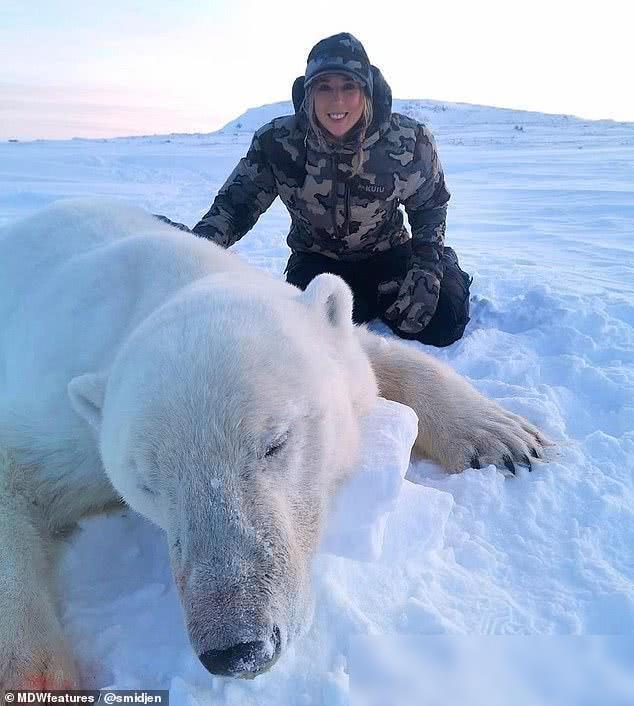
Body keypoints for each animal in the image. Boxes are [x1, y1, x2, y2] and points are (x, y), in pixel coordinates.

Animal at [0, 201, 544, 684]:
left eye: (275, 442)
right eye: (149, 483)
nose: (236, 649)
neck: (168, 278)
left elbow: (374, 354)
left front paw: (504, 436)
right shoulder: (57, 419)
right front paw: (37, 676)